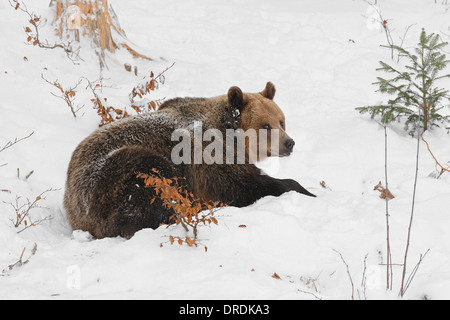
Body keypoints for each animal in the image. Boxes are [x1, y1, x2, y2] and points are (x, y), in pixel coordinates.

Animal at [64, 83, 316, 240]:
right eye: (266, 125)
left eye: (281, 121)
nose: (289, 143)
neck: (232, 137)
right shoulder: (209, 159)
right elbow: (246, 186)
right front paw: (306, 190)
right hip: (116, 177)